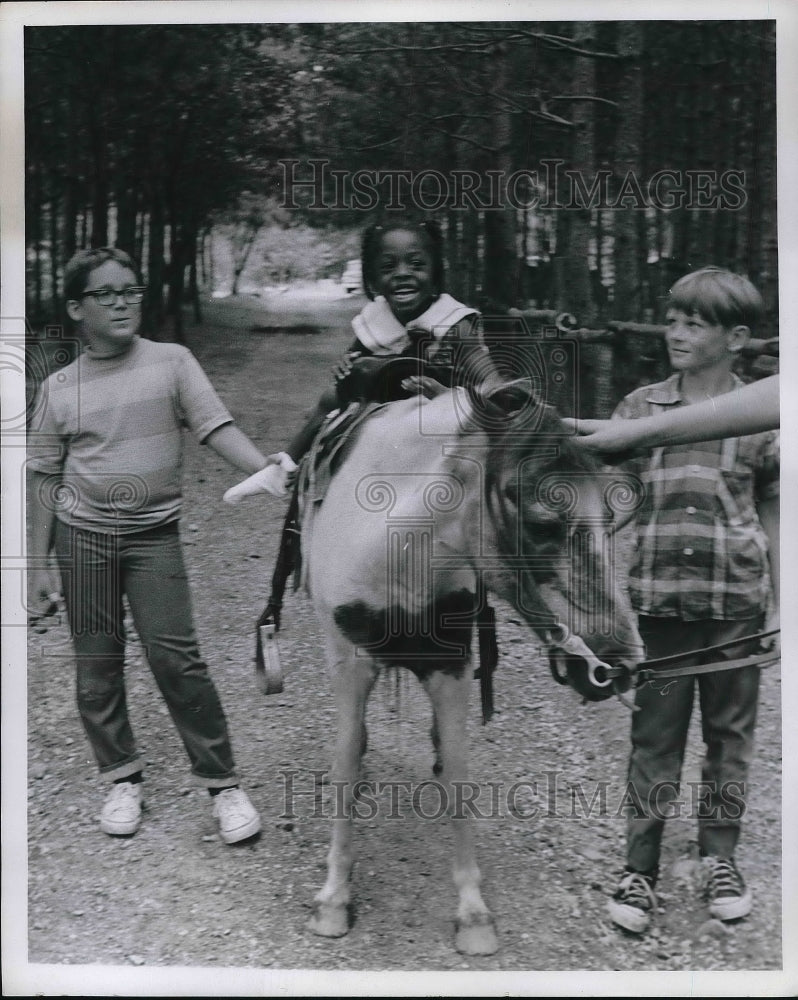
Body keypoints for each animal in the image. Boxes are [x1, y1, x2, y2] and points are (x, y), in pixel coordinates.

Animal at [304, 380, 648, 952]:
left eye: (612, 519)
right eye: (540, 524)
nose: (622, 665)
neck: (395, 552)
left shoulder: (452, 667)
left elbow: (461, 773)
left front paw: (472, 911)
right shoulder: (349, 664)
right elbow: (346, 764)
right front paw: (334, 897)